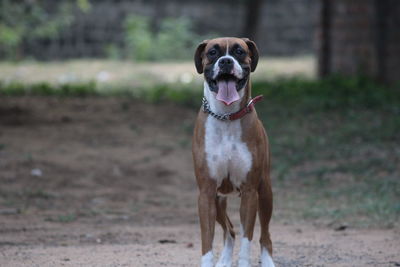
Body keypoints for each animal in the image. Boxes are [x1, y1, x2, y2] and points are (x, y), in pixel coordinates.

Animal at [191, 37, 276, 267]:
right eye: (212, 52)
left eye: (239, 51)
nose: (226, 61)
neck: (226, 117)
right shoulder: (206, 193)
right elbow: (207, 241)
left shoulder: (250, 192)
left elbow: (248, 237)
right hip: (218, 201)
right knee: (229, 231)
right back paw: (224, 260)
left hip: (265, 193)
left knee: (265, 235)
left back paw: (268, 260)